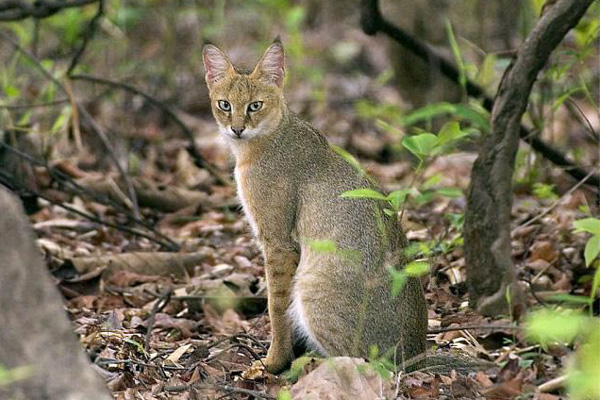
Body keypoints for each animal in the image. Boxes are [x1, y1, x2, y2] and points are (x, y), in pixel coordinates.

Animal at [204, 40, 428, 376]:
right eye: (225, 104)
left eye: (255, 105)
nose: (237, 129)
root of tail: (418, 357)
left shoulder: (278, 242)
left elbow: (276, 305)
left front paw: (274, 361)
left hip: (312, 284)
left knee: (360, 362)